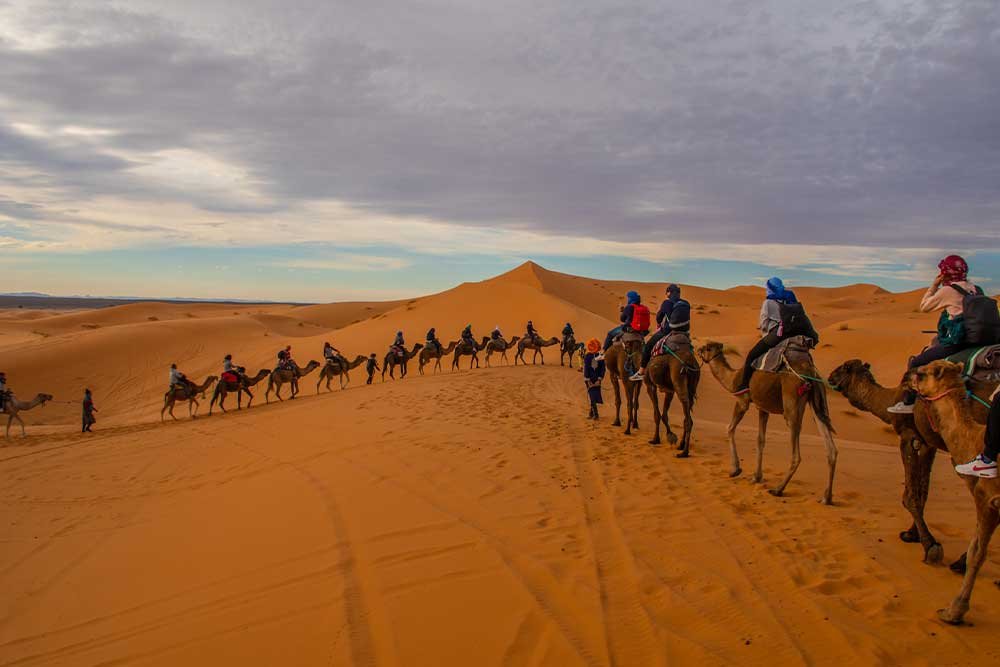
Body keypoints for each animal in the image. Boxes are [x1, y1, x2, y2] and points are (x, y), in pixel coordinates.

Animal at [700, 344, 840, 506]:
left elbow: (729, 428)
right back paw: (827, 497)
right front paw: (756, 476)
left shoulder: (742, 401)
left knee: (796, 453)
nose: (698, 350)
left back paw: (778, 489)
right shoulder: (763, 408)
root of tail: (810, 372)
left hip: (792, 402)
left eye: (706, 348)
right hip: (817, 403)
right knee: (830, 448)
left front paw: (735, 469)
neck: (732, 378)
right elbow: (760, 440)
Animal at [828, 362, 992, 572]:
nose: (829, 377)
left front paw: (931, 546)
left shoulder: (908, 436)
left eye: (843, 368)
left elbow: (910, 496)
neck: (889, 400)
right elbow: (922, 492)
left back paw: (961, 562)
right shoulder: (927, 442)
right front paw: (912, 534)